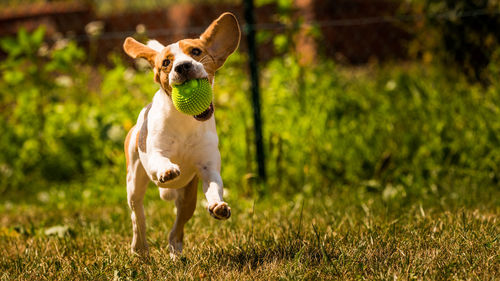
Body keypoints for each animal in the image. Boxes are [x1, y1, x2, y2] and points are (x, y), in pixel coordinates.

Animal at [122, 12, 240, 255]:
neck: (186, 121)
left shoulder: (208, 168)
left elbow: (214, 186)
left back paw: (176, 252)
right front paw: (167, 170)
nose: (183, 66)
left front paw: (218, 206)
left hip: (188, 198)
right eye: (166, 63)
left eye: (196, 51)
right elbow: (161, 161)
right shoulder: (155, 153)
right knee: (138, 216)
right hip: (134, 183)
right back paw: (140, 249)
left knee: (176, 230)